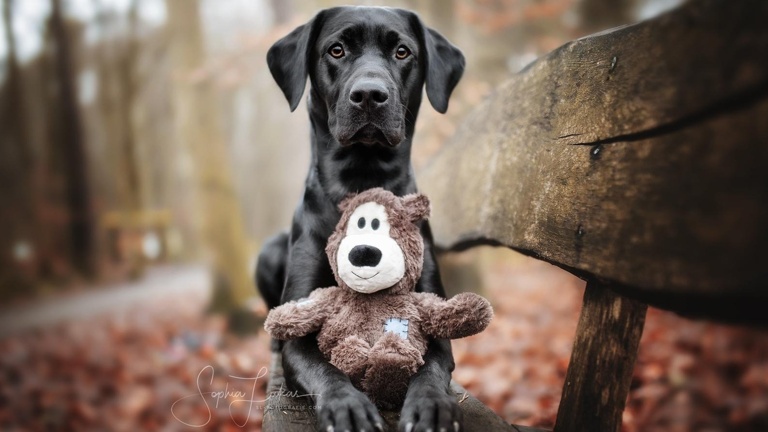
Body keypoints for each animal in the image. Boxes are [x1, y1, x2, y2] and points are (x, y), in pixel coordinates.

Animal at [256, 5, 462, 432]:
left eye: (402, 52)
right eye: (336, 50)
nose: (369, 94)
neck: (362, 176)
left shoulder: (434, 316)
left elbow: (431, 367)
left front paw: (432, 405)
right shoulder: (300, 325)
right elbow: (325, 368)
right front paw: (347, 407)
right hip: (269, 251)